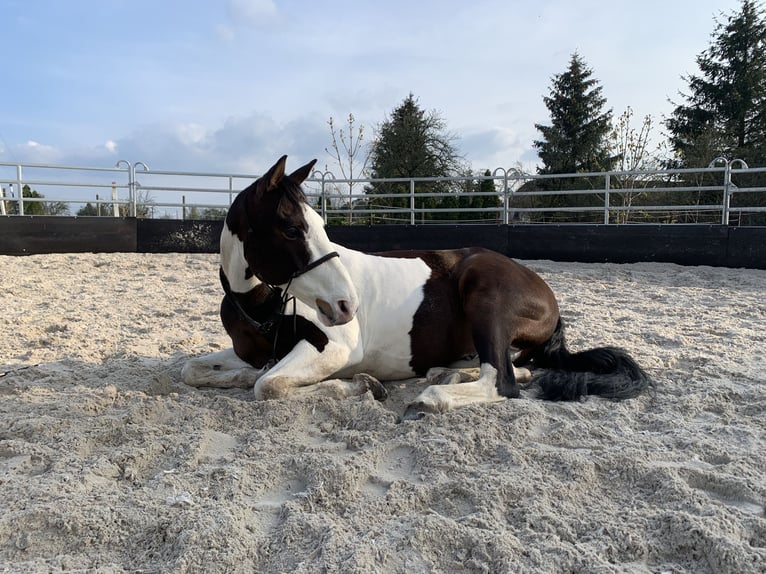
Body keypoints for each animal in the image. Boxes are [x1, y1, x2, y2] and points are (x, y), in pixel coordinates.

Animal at [183, 155, 652, 420]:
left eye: (317, 225)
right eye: (291, 229)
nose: (346, 306)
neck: (262, 308)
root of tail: (546, 293)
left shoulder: (332, 348)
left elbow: (268, 386)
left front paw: (360, 386)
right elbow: (198, 371)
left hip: (486, 297)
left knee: (502, 381)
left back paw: (430, 398)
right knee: (513, 369)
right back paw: (444, 373)